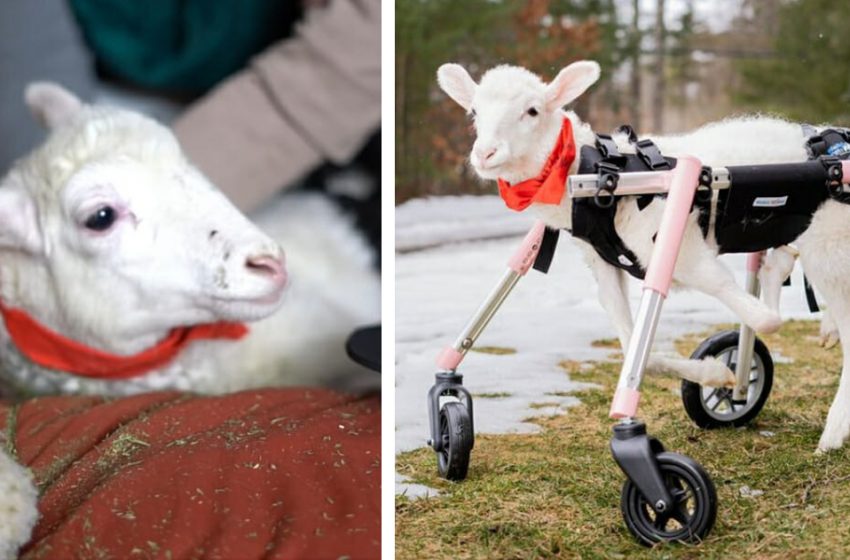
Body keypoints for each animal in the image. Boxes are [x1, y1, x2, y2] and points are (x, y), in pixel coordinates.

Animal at [434, 60, 848, 456]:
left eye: (532, 110)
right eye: (474, 111)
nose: (484, 154)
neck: (593, 172)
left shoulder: (685, 252)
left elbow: (767, 319)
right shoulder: (605, 264)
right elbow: (632, 344)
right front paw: (716, 375)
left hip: (828, 246)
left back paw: (831, 435)